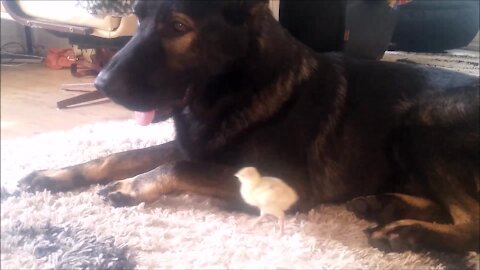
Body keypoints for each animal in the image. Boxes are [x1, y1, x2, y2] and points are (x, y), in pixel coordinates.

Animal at [19, 0, 480, 253]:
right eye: (138, 17)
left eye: (179, 27)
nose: (100, 84)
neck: (241, 87)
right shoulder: (192, 144)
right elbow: (120, 156)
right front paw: (54, 175)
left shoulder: (281, 185)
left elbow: (179, 167)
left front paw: (133, 187)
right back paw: (385, 205)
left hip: (423, 121)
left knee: (471, 222)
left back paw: (408, 232)